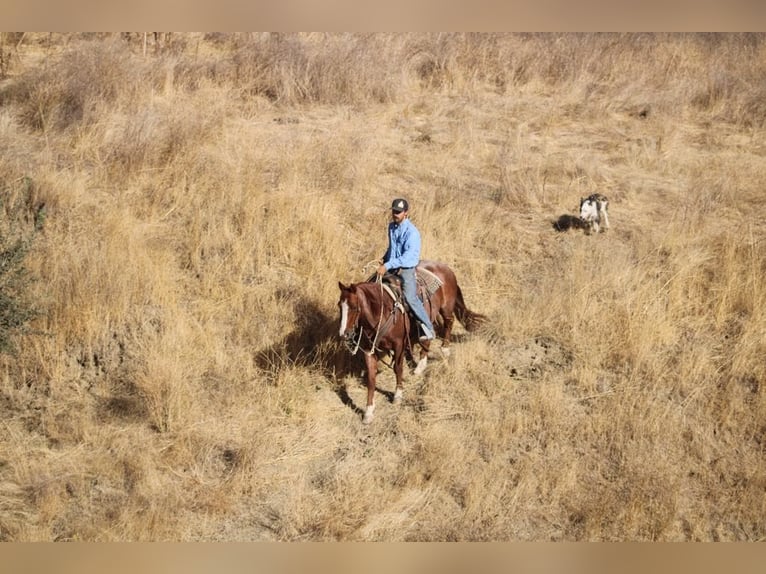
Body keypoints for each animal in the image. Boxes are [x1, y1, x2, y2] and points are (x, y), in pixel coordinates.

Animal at [337, 260, 486, 424]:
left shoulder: (399, 344)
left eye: (354, 307)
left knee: (449, 322)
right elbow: (371, 378)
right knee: (428, 335)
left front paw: (397, 395)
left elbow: (398, 368)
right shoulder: (368, 350)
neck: (382, 312)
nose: (344, 334)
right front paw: (368, 412)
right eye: (339, 306)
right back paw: (421, 365)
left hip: (446, 308)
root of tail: (445, 267)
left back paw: (444, 349)